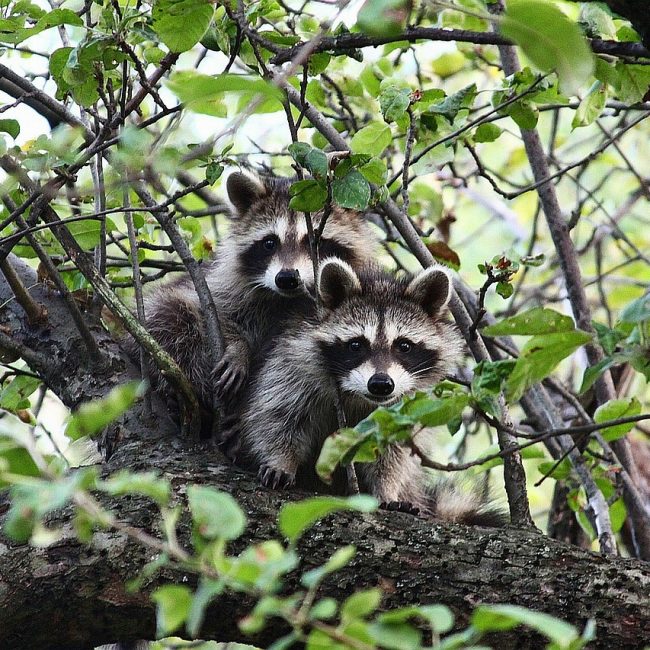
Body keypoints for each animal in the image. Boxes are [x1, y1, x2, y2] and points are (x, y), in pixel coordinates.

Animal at [138, 171, 376, 414]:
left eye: (315, 243)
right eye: (269, 243)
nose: (286, 279)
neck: (288, 299)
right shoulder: (220, 286)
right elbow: (208, 310)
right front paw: (237, 347)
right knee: (169, 314)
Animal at [229, 259, 507, 526]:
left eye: (403, 346)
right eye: (356, 345)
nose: (381, 384)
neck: (357, 396)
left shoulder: (407, 404)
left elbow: (393, 452)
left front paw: (386, 489)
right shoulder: (292, 364)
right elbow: (276, 414)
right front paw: (280, 460)